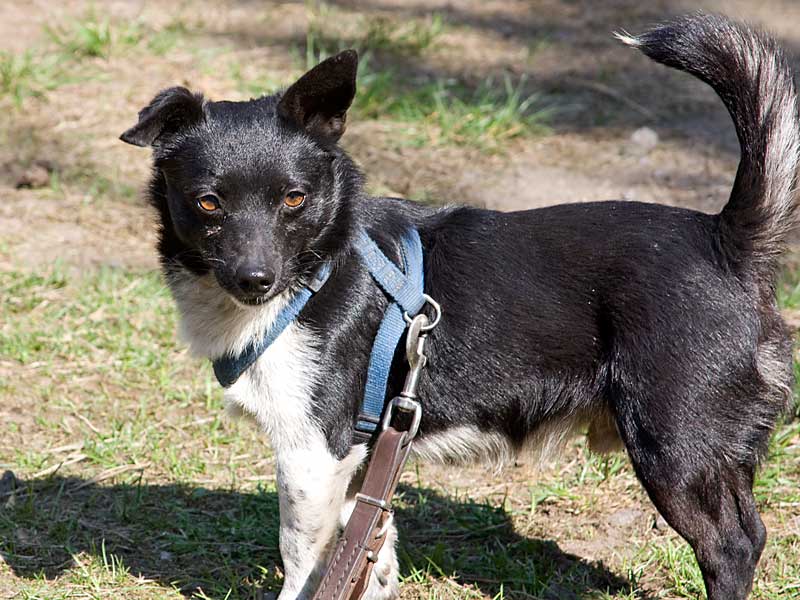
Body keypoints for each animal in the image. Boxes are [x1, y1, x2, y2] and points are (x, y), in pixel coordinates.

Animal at [120, 13, 798, 600]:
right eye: (208, 203)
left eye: (294, 199)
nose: (257, 279)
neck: (320, 267)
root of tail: (725, 239)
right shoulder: (365, 457)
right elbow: (370, 554)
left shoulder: (313, 453)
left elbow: (304, 562)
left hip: (676, 451)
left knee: (734, 546)